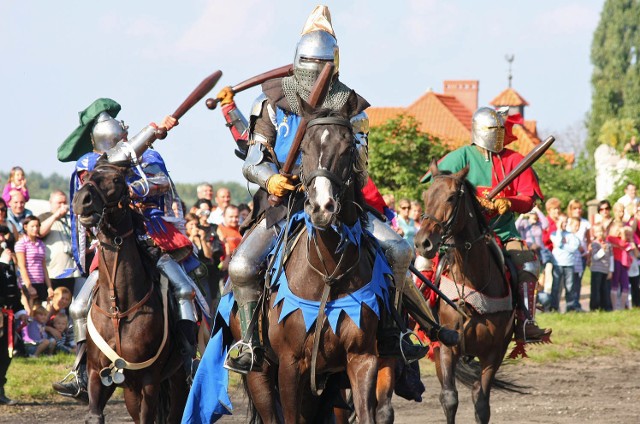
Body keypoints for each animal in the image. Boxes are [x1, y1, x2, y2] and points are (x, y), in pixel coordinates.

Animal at [73, 160, 188, 424]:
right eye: (87, 176)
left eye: (117, 180)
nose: (82, 199)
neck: (119, 309)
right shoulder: (98, 374)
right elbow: (95, 414)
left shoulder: (149, 381)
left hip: (175, 381)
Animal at [416, 161, 520, 424]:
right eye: (425, 196)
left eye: (452, 197)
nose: (422, 243)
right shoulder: (446, 346)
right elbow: (449, 398)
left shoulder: (494, 352)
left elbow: (481, 403)